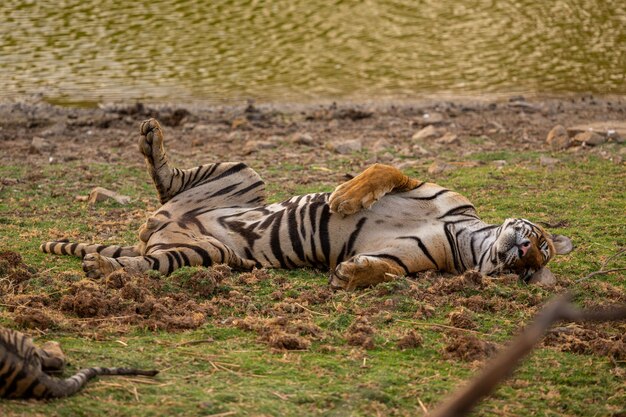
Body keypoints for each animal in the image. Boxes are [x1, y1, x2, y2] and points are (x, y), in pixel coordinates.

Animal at [40, 117, 572, 290]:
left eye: (531, 270)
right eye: (542, 244)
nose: (525, 254)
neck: (467, 239)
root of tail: (154, 230)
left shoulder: (404, 259)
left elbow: (388, 269)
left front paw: (350, 274)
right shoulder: (420, 183)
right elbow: (383, 170)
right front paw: (344, 198)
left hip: (200, 253)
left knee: (147, 264)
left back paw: (102, 269)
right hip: (241, 171)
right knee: (167, 180)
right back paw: (151, 138)